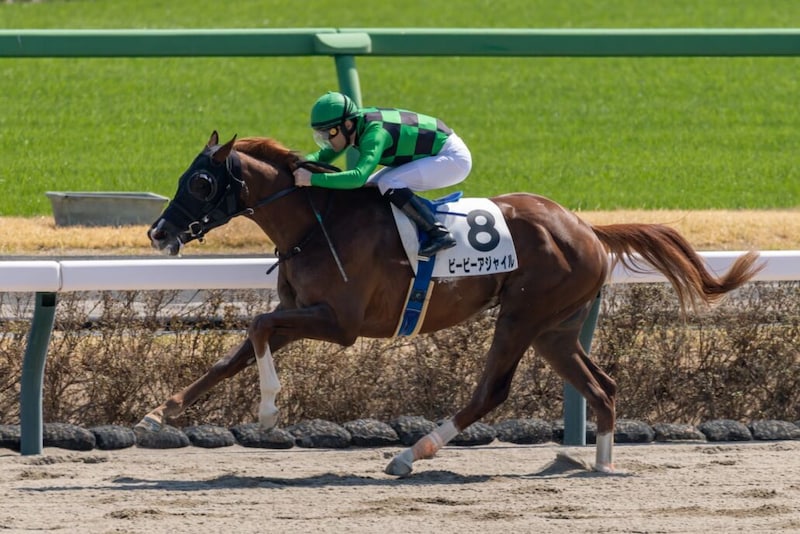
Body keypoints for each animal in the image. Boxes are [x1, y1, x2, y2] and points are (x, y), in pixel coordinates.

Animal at [143, 130, 762, 476]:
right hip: (555, 329)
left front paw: (270, 410)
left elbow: (257, 325)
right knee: (602, 386)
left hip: (523, 314)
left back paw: (410, 454)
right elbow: (239, 350)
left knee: (492, 391)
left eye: (200, 183)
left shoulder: (340, 322)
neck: (318, 222)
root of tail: (586, 228)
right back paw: (602, 467)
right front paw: (161, 411)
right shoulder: (307, 314)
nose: (157, 232)